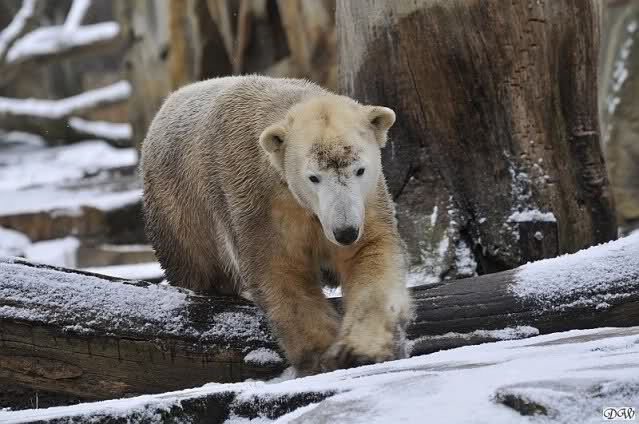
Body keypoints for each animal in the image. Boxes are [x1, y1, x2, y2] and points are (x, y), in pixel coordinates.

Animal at [140, 75, 412, 375]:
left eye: (360, 169)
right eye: (313, 177)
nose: (345, 232)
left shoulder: (365, 203)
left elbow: (370, 254)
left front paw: (360, 350)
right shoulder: (257, 198)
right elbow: (279, 271)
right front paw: (321, 356)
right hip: (180, 211)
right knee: (194, 267)